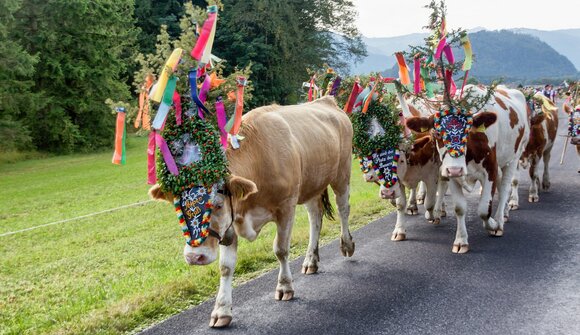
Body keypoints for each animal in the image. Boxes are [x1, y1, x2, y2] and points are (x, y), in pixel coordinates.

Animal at [147, 96, 356, 328]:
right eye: (180, 209)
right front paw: (221, 310)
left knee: (343, 208)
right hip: (312, 183)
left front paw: (284, 286)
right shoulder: (230, 222)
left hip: (342, 173)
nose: (194, 256)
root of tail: (326, 100)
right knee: (315, 217)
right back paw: (311, 260)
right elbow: (226, 267)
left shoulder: (286, 207)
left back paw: (346, 245)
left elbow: (281, 250)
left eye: (217, 205)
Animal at [404, 85, 532, 253]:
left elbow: (484, 209)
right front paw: (461, 240)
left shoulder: (490, 169)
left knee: (505, 189)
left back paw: (500, 219)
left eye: (467, 131)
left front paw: (492, 224)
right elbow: (459, 208)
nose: (456, 169)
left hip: (514, 157)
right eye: (437, 133)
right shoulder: (451, 174)